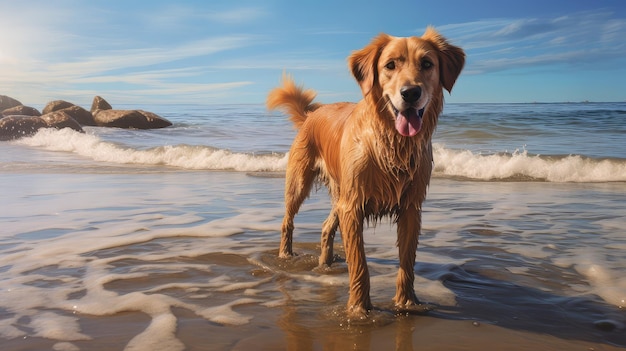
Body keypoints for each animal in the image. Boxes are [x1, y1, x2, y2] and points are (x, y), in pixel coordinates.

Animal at [264, 26, 464, 314]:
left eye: (427, 64)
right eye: (390, 65)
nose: (410, 93)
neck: (390, 143)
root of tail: (311, 114)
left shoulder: (410, 207)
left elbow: (407, 262)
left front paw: (407, 302)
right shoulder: (353, 206)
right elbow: (359, 262)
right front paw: (359, 310)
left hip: (340, 193)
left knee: (326, 227)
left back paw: (325, 263)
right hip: (301, 182)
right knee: (287, 221)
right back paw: (286, 255)